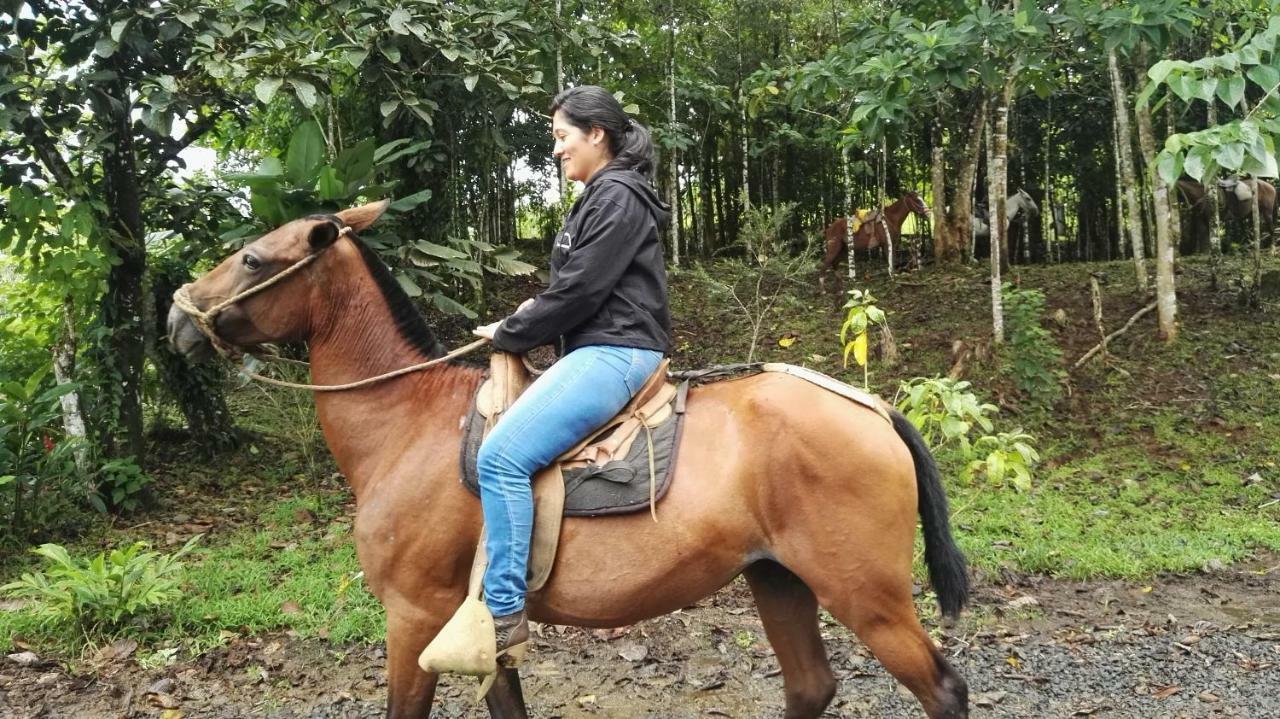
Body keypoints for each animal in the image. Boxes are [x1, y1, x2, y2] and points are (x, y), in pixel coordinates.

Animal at [167, 199, 967, 716]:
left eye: (252, 258)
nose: (176, 312)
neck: (407, 423)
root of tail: (874, 409)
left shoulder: (414, 617)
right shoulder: (479, 628)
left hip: (867, 595)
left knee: (942, 690)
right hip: (778, 577)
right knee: (810, 687)